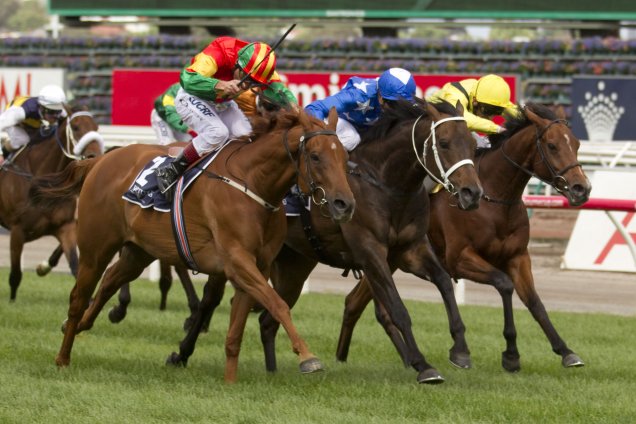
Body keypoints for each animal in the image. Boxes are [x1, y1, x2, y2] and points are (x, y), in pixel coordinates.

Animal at [0, 107, 103, 302]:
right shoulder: (17, 230)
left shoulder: (65, 226)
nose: (95, 156)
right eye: (76, 127)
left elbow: (75, 267)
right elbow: (16, 274)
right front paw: (12, 301)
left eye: (96, 127)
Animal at [32, 108, 356, 380]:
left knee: (110, 280)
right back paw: (63, 357)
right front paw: (308, 357)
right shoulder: (237, 261)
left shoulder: (255, 267)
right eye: (315, 156)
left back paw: (83, 324)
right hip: (95, 247)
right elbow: (277, 304)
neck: (252, 184)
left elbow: (235, 332)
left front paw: (229, 382)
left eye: (344, 158)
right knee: (78, 298)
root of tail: (101, 160)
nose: (345, 203)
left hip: (138, 251)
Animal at [166, 99, 484, 384]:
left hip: (292, 265)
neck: (387, 185)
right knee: (212, 299)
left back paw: (274, 370)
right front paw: (424, 366)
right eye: (444, 142)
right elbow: (397, 308)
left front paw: (460, 350)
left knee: (267, 318)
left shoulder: (409, 250)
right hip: (237, 251)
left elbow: (444, 283)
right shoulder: (371, 252)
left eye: (473, 145)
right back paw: (181, 353)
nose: (472, 193)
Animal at [338, 104, 592, 372]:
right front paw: (510, 353)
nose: (581, 188)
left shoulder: (518, 257)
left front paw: (565, 350)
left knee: (355, 302)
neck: (495, 201)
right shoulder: (459, 259)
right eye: (552, 145)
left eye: (576, 144)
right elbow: (504, 284)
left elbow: (535, 302)